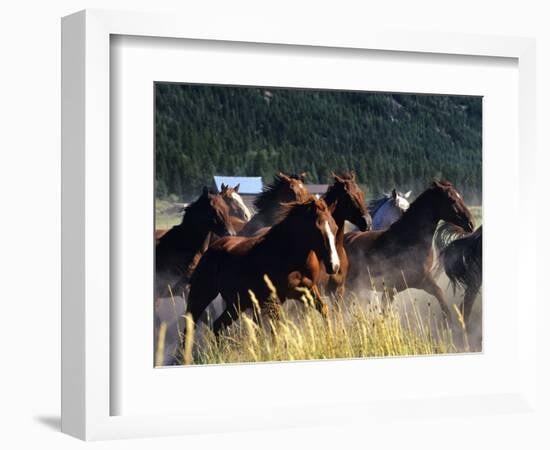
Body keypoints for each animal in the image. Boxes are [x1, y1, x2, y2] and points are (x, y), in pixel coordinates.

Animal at [185, 197, 340, 334]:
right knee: (190, 327)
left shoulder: (308, 290)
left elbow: (324, 310)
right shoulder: (274, 301)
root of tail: (211, 249)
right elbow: (276, 330)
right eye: (317, 229)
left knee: (217, 326)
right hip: (202, 296)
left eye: (335, 227)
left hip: (237, 303)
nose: (334, 265)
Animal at [344, 180, 474, 320]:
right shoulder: (418, 281)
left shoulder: (399, 287)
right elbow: (440, 296)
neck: (409, 239)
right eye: (452, 199)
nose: (471, 224)